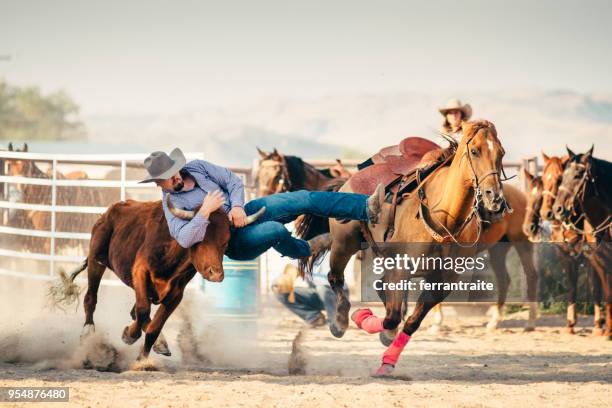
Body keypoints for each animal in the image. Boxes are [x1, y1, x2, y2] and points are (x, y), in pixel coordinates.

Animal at [552, 146, 608, 338]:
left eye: (578, 175)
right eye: (562, 177)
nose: (556, 209)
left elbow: (596, 287)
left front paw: (599, 325)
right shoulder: (568, 256)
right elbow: (573, 286)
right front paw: (570, 323)